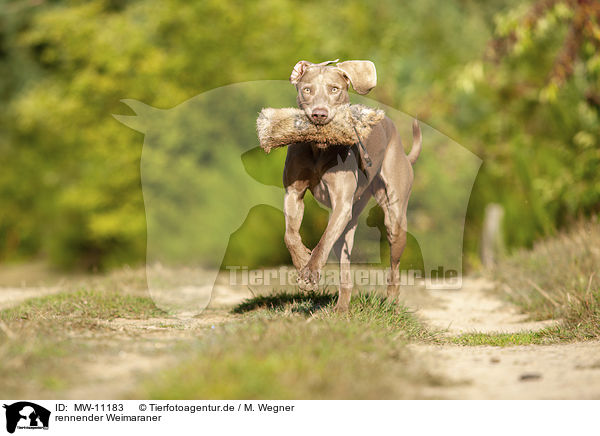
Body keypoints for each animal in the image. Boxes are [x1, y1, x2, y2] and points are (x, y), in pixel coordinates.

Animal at [282, 59, 420, 312]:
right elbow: (290, 235)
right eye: (307, 90)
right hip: (350, 223)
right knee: (343, 262)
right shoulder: (293, 194)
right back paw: (341, 309)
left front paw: (310, 271)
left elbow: (323, 240)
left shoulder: (341, 205)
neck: (320, 148)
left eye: (334, 89)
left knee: (394, 268)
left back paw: (390, 303)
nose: (319, 114)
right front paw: (301, 260)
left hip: (394, 220)